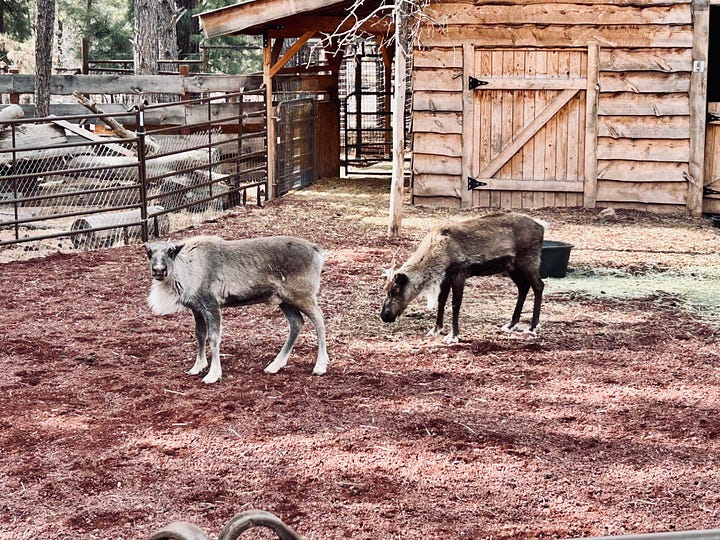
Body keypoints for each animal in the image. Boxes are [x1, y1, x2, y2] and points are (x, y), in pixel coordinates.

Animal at [145, 235, 329, 384]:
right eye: (149, 252)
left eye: (171, 251)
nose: (159, 270)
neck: (186, 272)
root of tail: (318, 252)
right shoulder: (196, 308)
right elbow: (199, 335)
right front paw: (197, 367)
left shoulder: (211, 304)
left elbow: (213, 337)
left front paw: (213, 374)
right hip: (284, 300)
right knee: (296, 322)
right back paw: (275, 365)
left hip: (302, 295)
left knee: (319, 318)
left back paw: (320, 365)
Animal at [380, 212, 546, 343]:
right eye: (385, 289)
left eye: (395, 290)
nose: (384, 315)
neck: (436, 255)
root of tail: (542, 226)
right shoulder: (445, 277)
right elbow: (441, 301)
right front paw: (436, 329)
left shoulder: (459, 273)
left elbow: (455, 304)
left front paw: (453, 336)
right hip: (512, 267)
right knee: (523, 287)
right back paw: (511, 324)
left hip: (529, 261)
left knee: (539, 285)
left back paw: (532, 327)